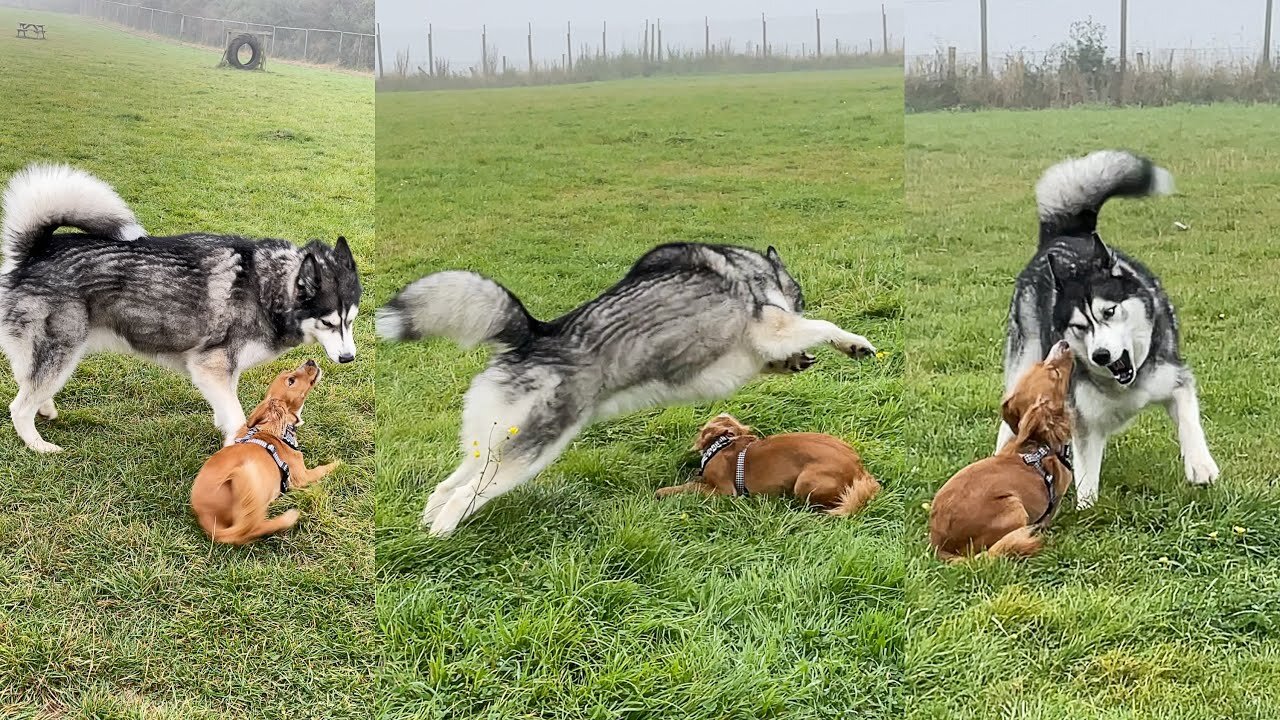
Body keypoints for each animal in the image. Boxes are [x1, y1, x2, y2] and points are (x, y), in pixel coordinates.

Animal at [189, 358, 340, 543]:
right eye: (291, 380)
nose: (310, 361)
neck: (277, 430)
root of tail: (206, 516)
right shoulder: (303, 476)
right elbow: (323, 468)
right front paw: (339, 463)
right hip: (247, 478)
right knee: (251, 528)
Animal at [660, 412, 880, 512]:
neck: (722, 444)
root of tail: (859, 469)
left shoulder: (724, 491)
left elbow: (692, 487)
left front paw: (664, 491)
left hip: (805, 482)